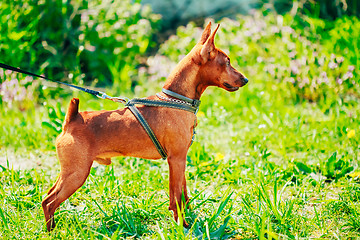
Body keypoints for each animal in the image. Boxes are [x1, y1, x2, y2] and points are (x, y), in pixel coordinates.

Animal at [41, 22, 248, 231]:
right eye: (227, 62)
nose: (245, 80)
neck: (175, 100)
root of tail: (72, 120)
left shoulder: (181, 159)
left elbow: (183, 193)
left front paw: (188, 218)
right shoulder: (176, 160)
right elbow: (176, 197)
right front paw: (181, 225)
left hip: (70, 172)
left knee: (47, 197)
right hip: (77, 173)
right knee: (50, 202)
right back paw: (52, 232)